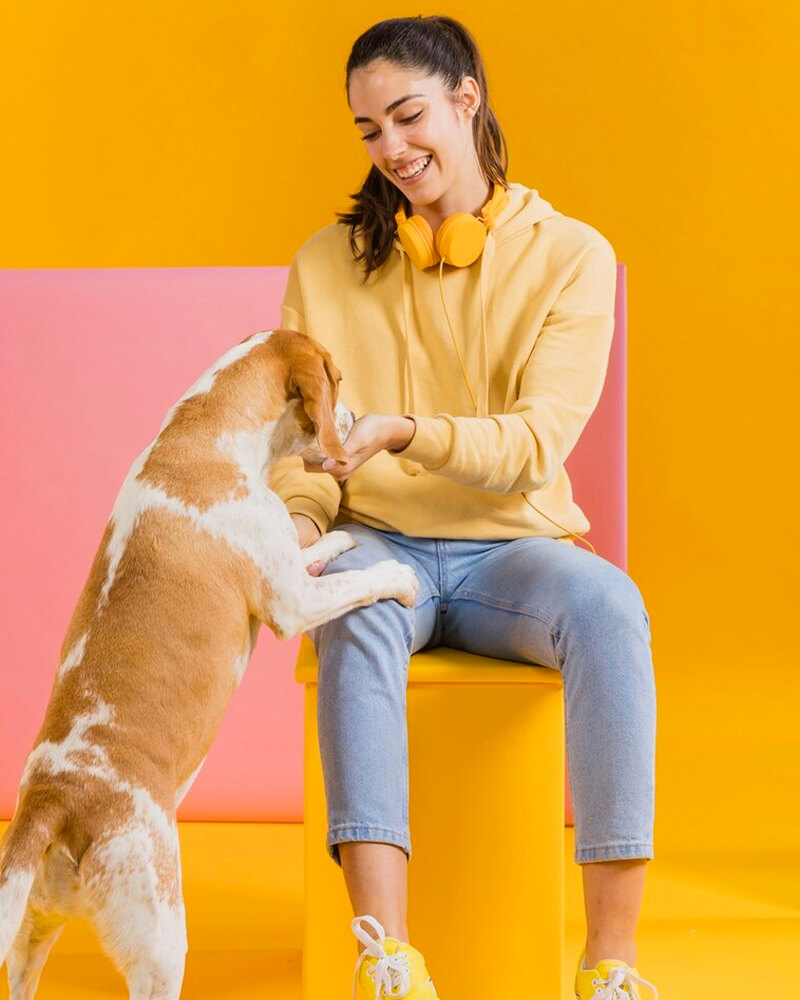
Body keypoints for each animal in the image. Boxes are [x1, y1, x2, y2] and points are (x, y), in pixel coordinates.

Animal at [0, 327, 419, 999]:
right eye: (338, 379)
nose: (354, 419)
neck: (204, 430)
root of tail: (53, 800)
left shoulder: (289, 568)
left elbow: (316, 550)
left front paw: (337, 538)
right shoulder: (294, 603)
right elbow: (364, 579)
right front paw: (398, 576)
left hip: (31, 936)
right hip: (160, 947)